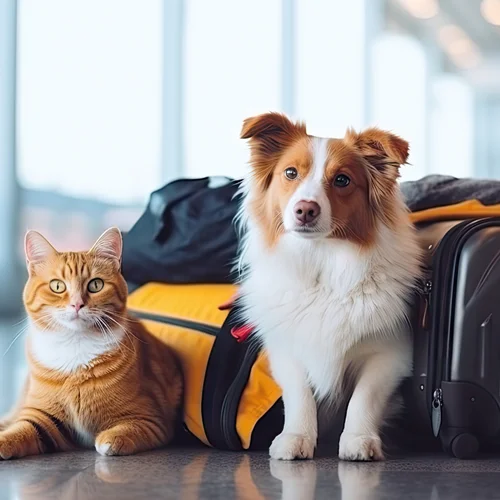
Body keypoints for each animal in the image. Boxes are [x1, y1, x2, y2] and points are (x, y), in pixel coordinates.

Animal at [0, 229, 184, 458]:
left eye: (96, 285)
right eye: (57, 286)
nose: (77, 304)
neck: (75, 346)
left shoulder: (151, 418)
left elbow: (129, 428)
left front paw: (111, 438)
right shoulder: (41, 416)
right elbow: (20, 429)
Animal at [236, 113, 420, 460]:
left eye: (343, 180)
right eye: (290, 173)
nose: (305, 210)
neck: (322, 265)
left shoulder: (389, 354)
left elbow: (364, 396)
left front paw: (359, 439)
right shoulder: (287, 350)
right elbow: (299, 395)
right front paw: (296, 436)